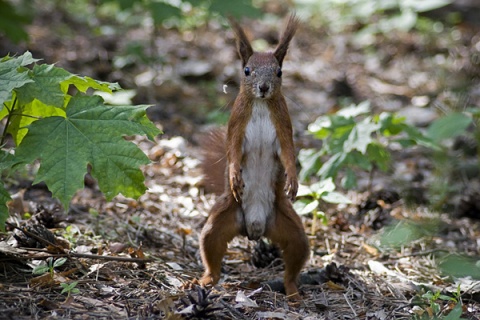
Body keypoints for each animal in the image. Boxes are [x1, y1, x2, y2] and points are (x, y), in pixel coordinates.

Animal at [198, 15, 308, 300]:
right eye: (247, 70)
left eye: (279, 72)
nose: (264, 87)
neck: (260, 105)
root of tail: (255, 228)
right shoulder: (237, 125)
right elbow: (234, 152)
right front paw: (235, 175)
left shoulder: (283, 127)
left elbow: (288, 153)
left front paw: (293, 179)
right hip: (221, 219)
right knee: (211, 251)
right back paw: (204, 280)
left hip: (289, 226)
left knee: (296, 255)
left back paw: (293, 292)